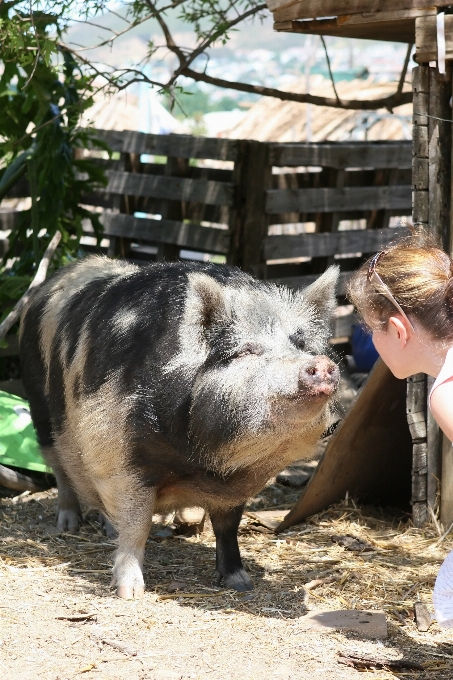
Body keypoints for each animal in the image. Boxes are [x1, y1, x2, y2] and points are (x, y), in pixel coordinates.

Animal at [20, 258, 340, 596]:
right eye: (246, 350)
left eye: (301, 344)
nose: (320, 364)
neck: (205, 461)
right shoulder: (122, 457)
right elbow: (138, 525)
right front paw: (130, 593)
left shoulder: (235, 487)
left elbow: (228, 527)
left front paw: (241, 583)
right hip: (40, 411)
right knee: (60, 471)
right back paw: (67, 524)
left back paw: (107, 530)